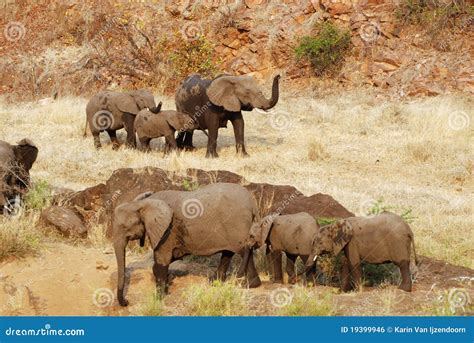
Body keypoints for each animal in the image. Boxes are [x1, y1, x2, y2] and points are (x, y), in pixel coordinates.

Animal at [112, 183, 262, 306]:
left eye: (125, 227)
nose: (126, 301)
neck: (143, 204)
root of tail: (252, 202)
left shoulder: (167, 231)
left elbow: (162, 259)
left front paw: (159, 297)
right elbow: (167, 259)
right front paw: (166, 285)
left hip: (237, 225)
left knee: (243, 251)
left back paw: (250, 284)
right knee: (228, 253)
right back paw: (215, 282)